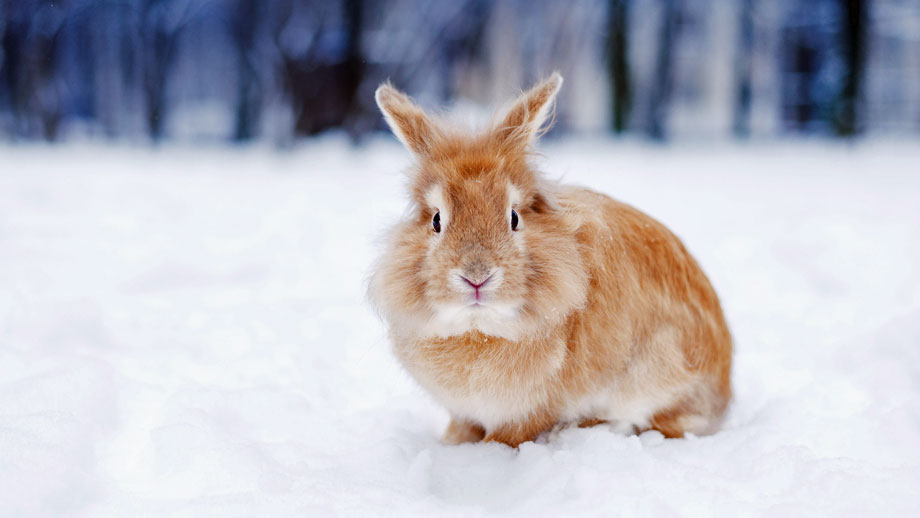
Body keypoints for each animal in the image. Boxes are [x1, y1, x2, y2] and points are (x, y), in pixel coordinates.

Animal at [368, 72, 732, 447]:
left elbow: (509, 435)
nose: (476, 276)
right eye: (437, 220)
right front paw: (453, 443)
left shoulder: (530, 412)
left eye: (514, 217)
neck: (480, 329)